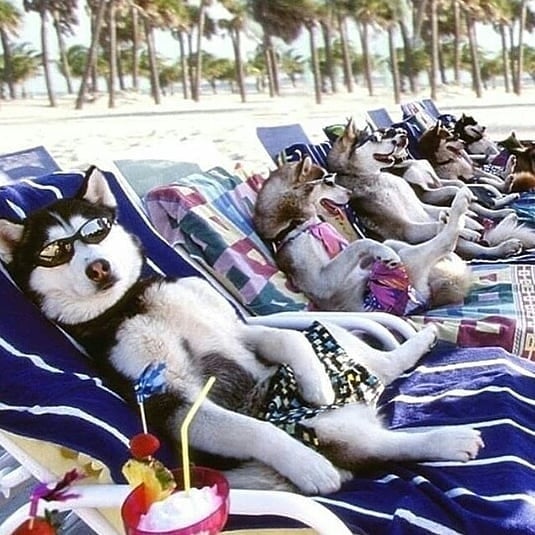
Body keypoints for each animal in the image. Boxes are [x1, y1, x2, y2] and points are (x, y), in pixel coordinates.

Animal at [0, 166, 486, 494]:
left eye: (94, 231)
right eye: (54, 252)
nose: (98, 267)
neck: (133, 300)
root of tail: (359, 409)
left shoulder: (235, 330)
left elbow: (285, 338)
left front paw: (315, 382)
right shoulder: (169, 400)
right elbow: (257, 432)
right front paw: (307, 466)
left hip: (330, 335)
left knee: (376, 365)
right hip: (330, 430)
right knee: (384, 448)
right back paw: (447, 440)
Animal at [328, 119, 528, 260]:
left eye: (388, 133)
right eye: (375, 139)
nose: (403, 136)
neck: (376, 176)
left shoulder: (424, 203)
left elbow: (448, 207)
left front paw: (470, 221)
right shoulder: (407, 228)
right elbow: (439, 222)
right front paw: (468, 227)